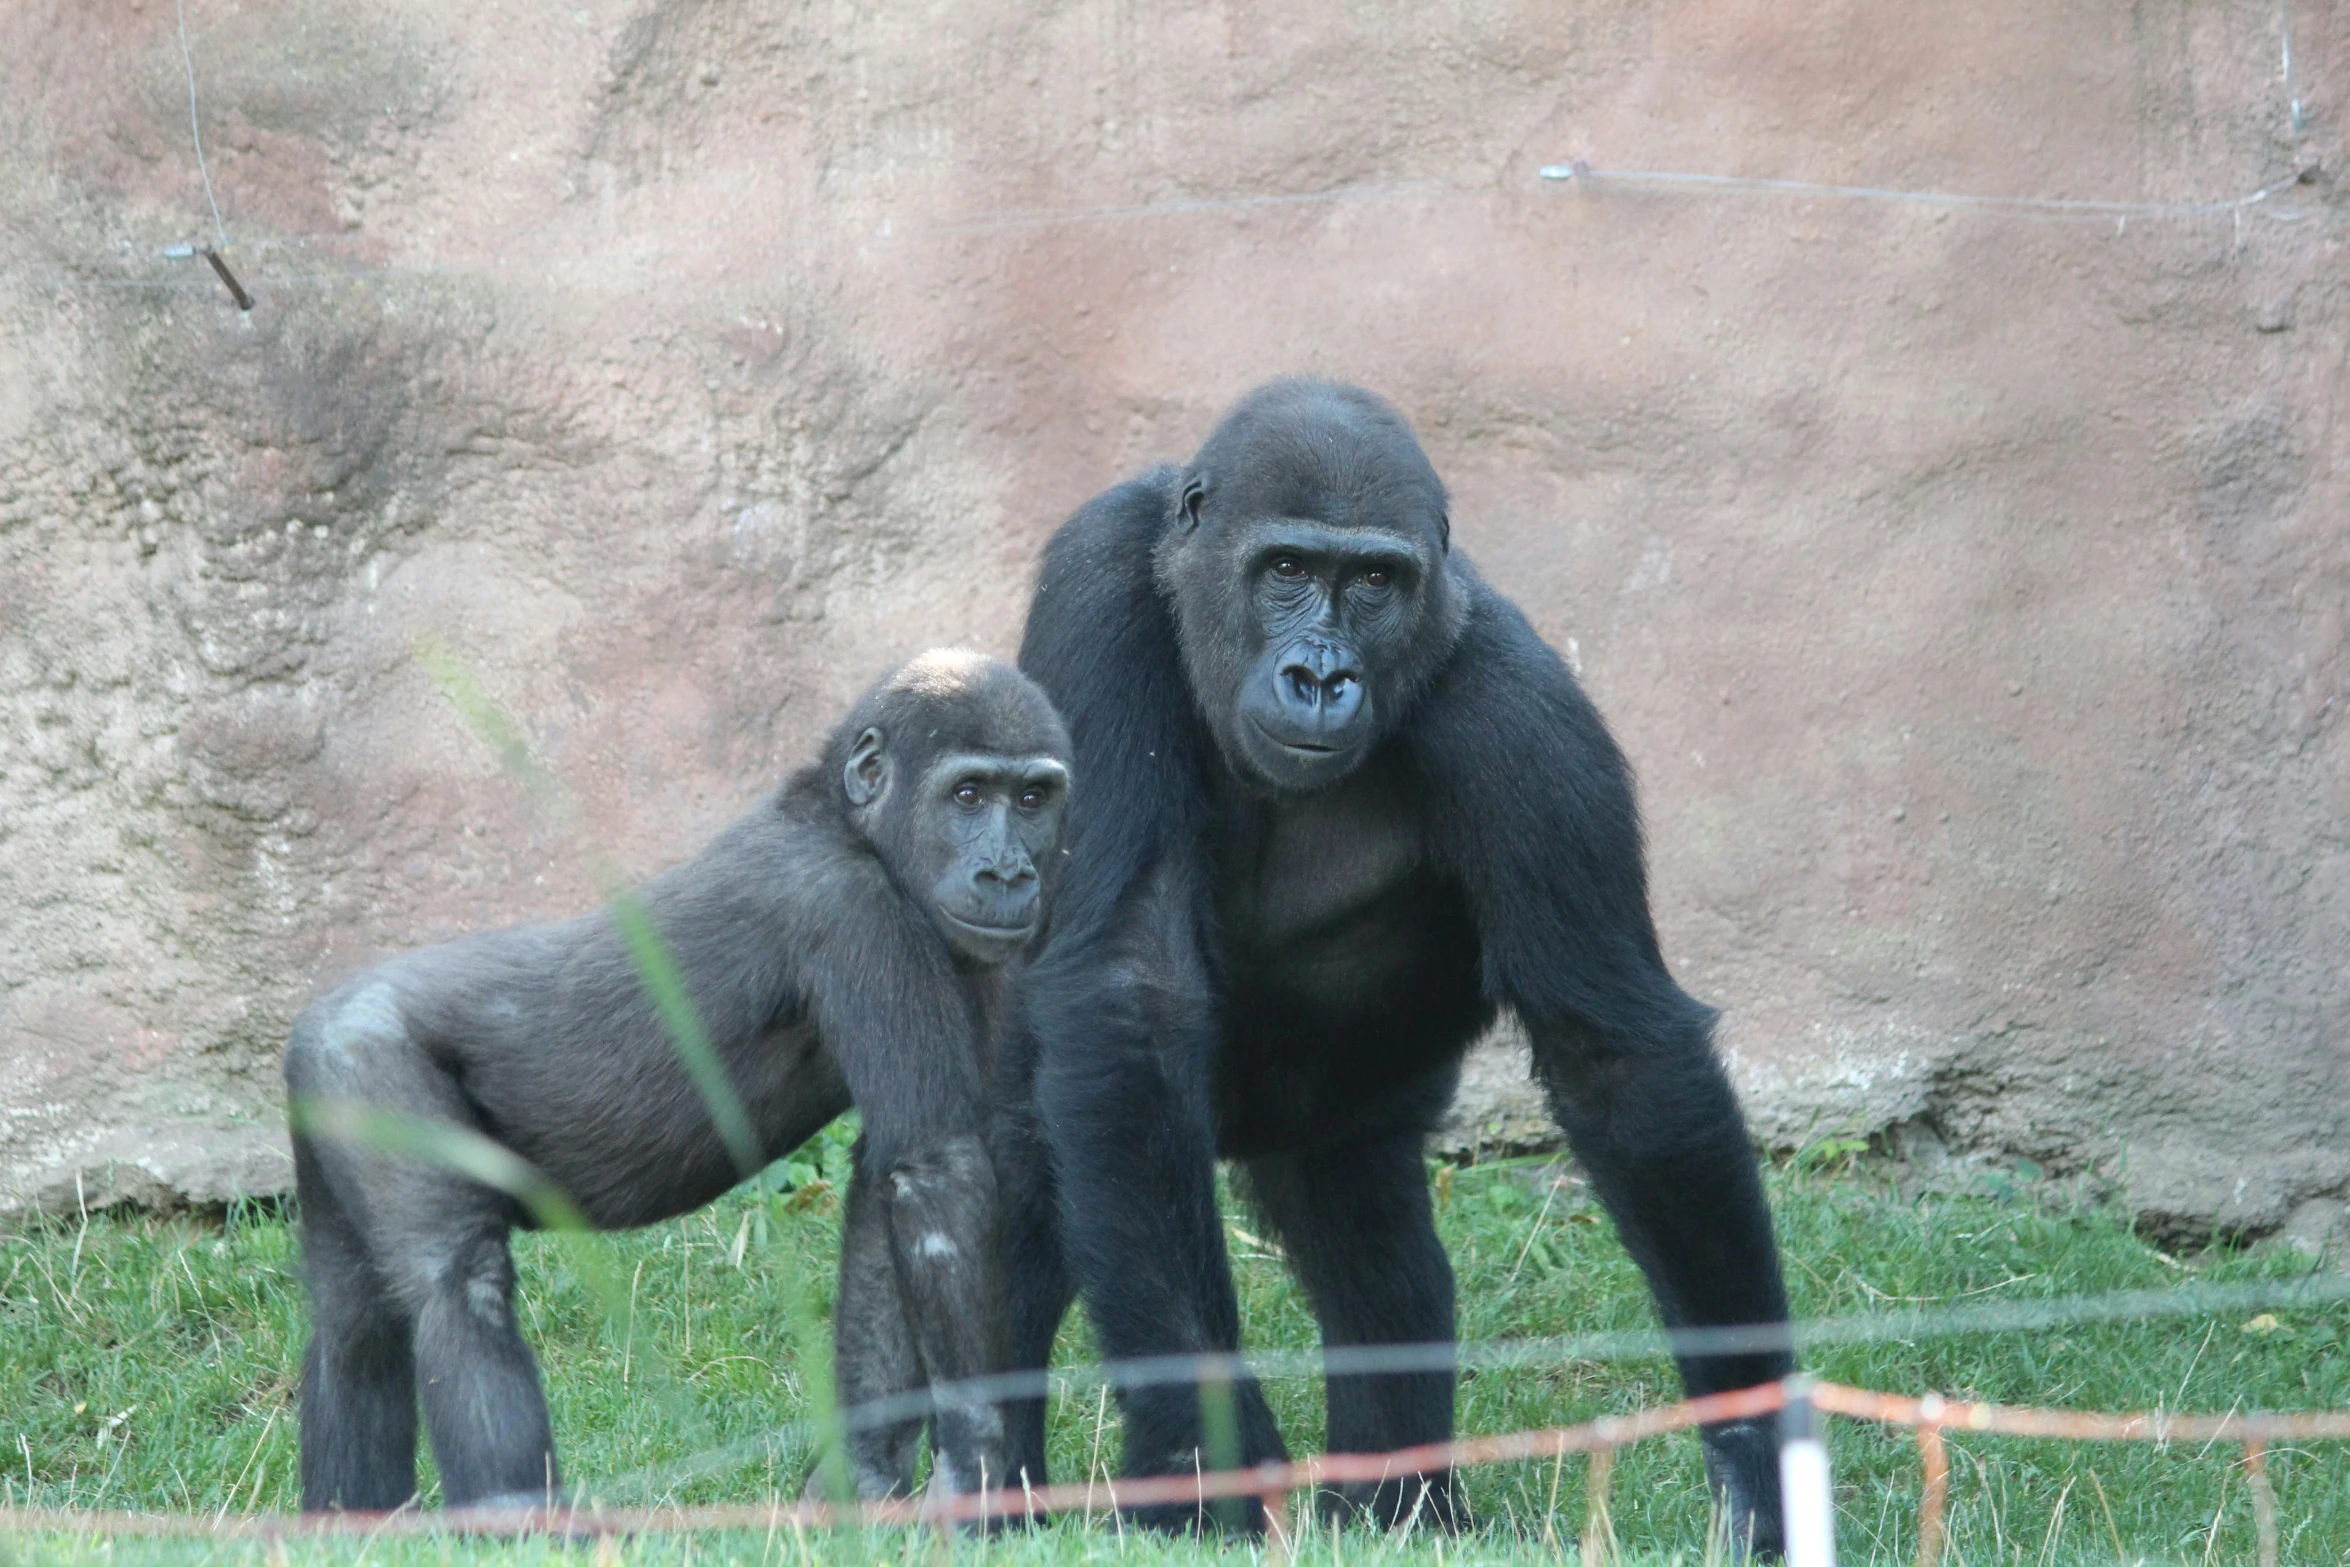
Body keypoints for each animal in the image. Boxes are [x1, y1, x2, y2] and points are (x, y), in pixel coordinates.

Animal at [282, 648, 1076, 1503]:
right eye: (968, 794)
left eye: (1033, 798)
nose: (1007, 874)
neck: (841, 816)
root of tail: (315, 1023)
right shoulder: (852, 907)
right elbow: (938, 1169)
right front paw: (976, 1469)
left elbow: (890, 1189)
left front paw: (865, 1475)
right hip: (369, 1058)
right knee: (454, 1286)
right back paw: (516, 1512)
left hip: (325, 1092)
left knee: (351, 1325)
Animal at [1001, 375, 1785, 1541]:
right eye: (1286, 570)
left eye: (1373, 581)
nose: (1319, 675)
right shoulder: (1099, 582)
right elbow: (1127, 993)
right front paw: (1202, 1448)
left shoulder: (1525, 719)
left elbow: (1617, 1060)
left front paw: (1760, 1455)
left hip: (1340, 1111)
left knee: (1369, 1235)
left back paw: (1395, 1500)